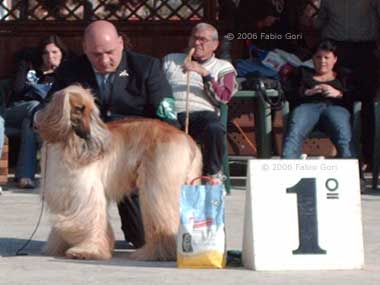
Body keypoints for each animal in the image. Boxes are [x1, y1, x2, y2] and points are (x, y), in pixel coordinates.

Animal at [35, 84, 202, 260]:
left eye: (91, 111)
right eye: (79, 109)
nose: (89, 135)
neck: (68, 140)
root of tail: (187, 139)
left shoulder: (85, 191)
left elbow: (88, 218)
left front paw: (87, 250)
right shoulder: (64, 193)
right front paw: (59, 246)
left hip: (158, 183)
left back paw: (155, 252)